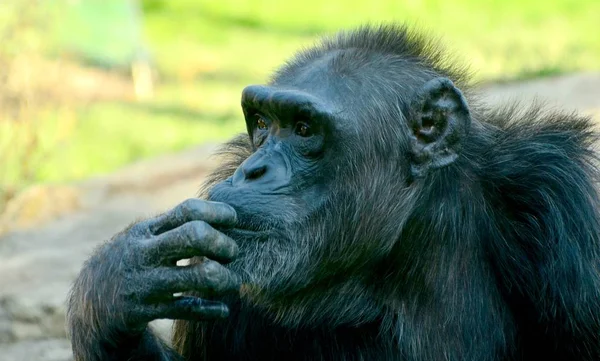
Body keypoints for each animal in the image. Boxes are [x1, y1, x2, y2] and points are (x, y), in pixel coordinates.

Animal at [65, 23, 600, 358]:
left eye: (304, 129)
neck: (402, 241)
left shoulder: (558, 197)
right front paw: (118, 283)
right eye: (263, 122)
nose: (253, 171)